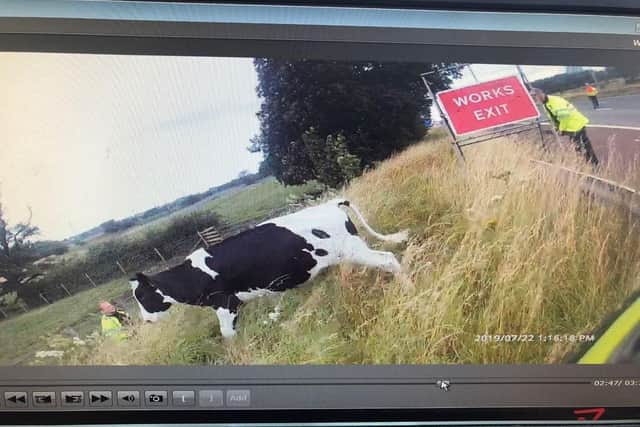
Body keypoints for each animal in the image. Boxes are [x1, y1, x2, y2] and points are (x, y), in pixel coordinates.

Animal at [129, 199, 408, 340]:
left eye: (141, 296)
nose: (146, 321)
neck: (193, 275)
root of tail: (332, 203)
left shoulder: (225, 303)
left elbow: (227, 334)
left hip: (352, 249)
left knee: (388, 259)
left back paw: (407, 289)